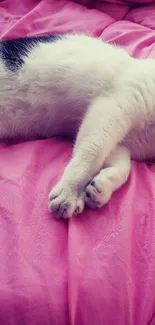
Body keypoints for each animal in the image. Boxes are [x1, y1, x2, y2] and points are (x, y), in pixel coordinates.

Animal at [0, 33, 155, 218]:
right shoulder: (113, 107)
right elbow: (92, 153)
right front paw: (71, 192)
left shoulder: (123, 144)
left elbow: (124, 168)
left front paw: (103, 187)